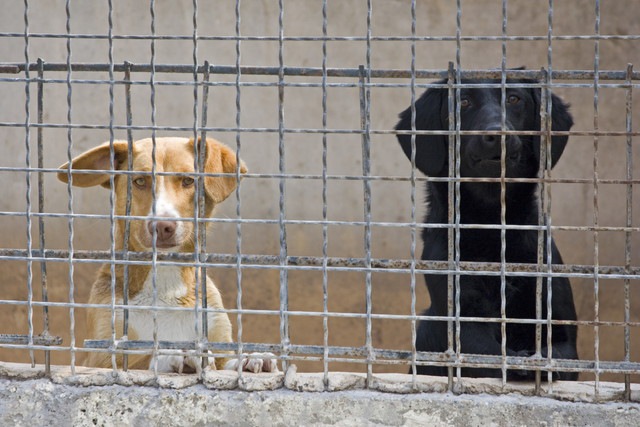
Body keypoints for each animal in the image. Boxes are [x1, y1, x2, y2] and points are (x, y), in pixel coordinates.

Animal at [59, 138, 278, 374]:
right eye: (139, 181)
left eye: (188, 180)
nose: (162, 226)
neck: (165, 276)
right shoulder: (99, 358)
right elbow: (142, 358)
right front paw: (175, 353)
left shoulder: (217, 334)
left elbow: (226, 362)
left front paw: (249, 357)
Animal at [396, 77, 580, 382]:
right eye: (463, 102)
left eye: (514, 99)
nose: (498, 134)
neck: (491, 224)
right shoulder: (464, 324)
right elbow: (487, 355)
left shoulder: (563, 335)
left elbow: (557, 357)